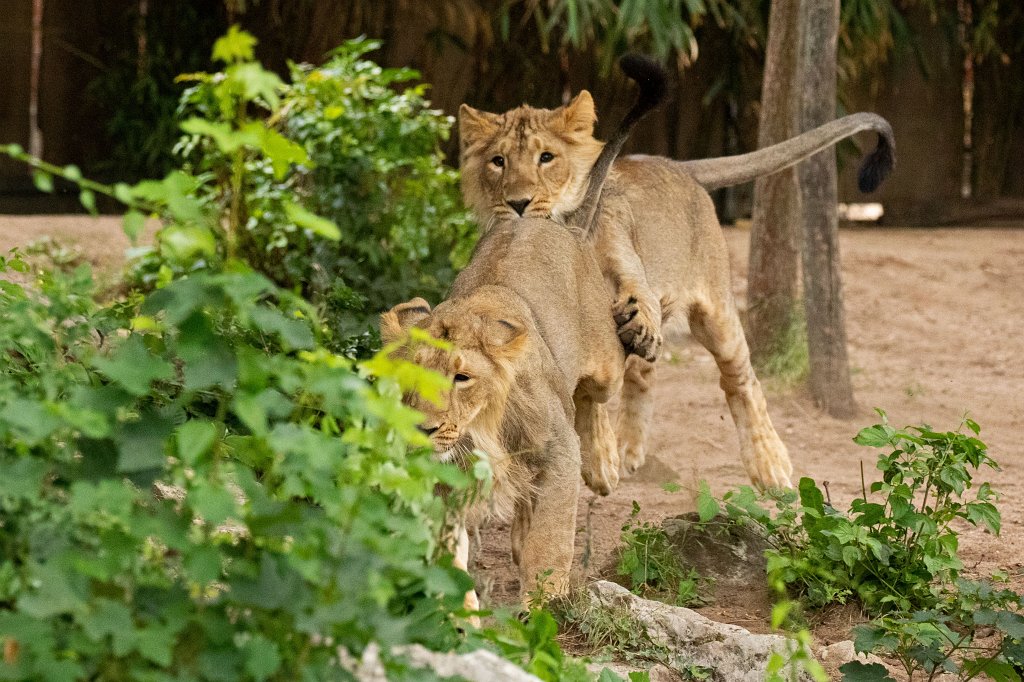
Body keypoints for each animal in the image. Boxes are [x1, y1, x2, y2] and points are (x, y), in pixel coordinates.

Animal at [380, 56, 666, 607]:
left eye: (462, 378)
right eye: (412, 379)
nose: (424, 430)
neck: (478, 433)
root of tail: (558, 223)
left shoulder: (556, 453)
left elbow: (550, 544)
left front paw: (545, 607)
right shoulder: (443, 484)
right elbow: (450, 556)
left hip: (601, 362)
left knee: (604, 387)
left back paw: (604, 462)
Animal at [458, 92, 895, 492]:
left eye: (546, 158)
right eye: (498, 162)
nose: (518, 203)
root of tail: (676, 164)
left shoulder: (630, 274)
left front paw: (599, 459)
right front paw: (603, 457)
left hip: (715, 313)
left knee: (740, 380)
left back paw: (770, 466)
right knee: (643, 373)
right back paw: (629, 448)